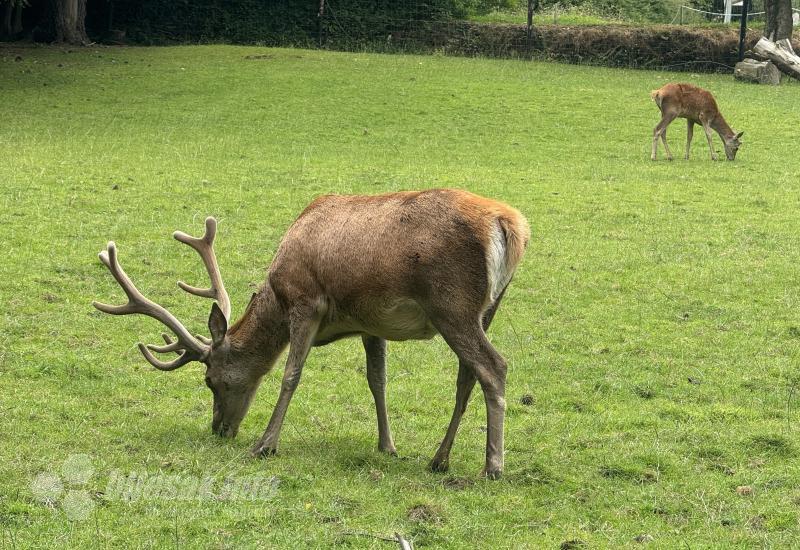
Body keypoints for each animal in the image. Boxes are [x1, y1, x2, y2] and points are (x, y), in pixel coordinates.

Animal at [92, 189, 532, 478]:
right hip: (487, 307)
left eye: (211, 380)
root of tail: (508, 224)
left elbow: (291, 374)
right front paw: (387, 446)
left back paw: (493, 466)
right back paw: (439, 459)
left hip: (451, 305)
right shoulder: (370, 323)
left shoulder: (307, 302)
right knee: (467, 377)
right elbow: (377, 380)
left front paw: (265, 444)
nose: (219, 430)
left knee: (494, 367)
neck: (277, 295)